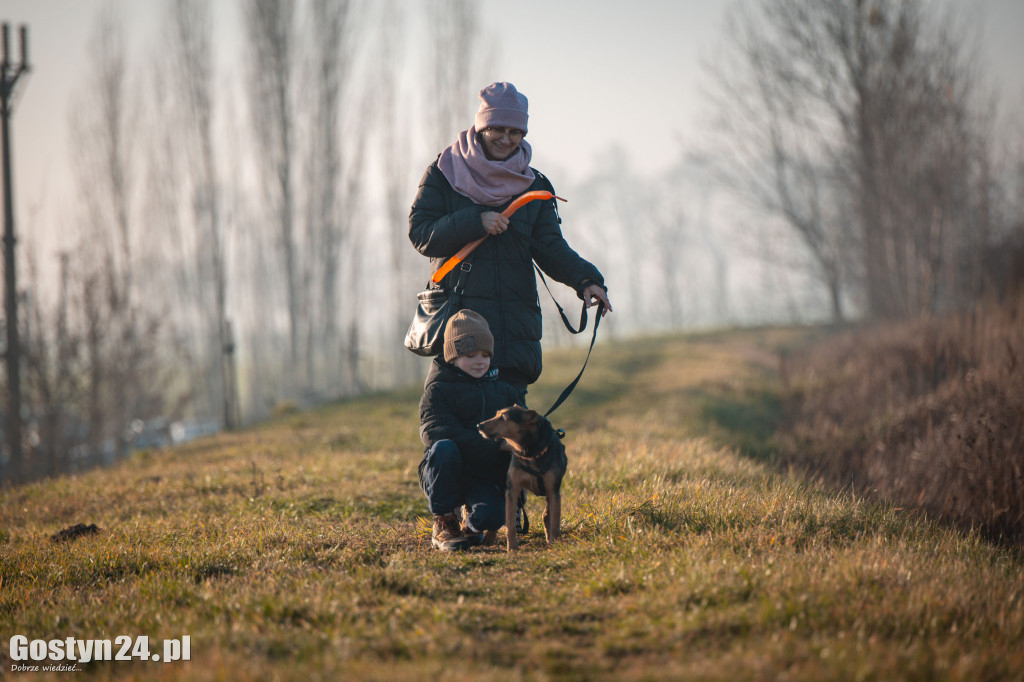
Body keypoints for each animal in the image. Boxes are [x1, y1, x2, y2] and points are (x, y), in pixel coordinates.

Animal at [477, 405, 569, 548]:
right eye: (496, 414)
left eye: (503, 417)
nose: (479, 425)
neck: (529, 452)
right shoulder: (512, 489)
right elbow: (510, 523)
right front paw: (512, 546)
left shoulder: (553, 490)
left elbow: (555, 522)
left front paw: (554, 542)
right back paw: (490, 536)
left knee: (547, 514)